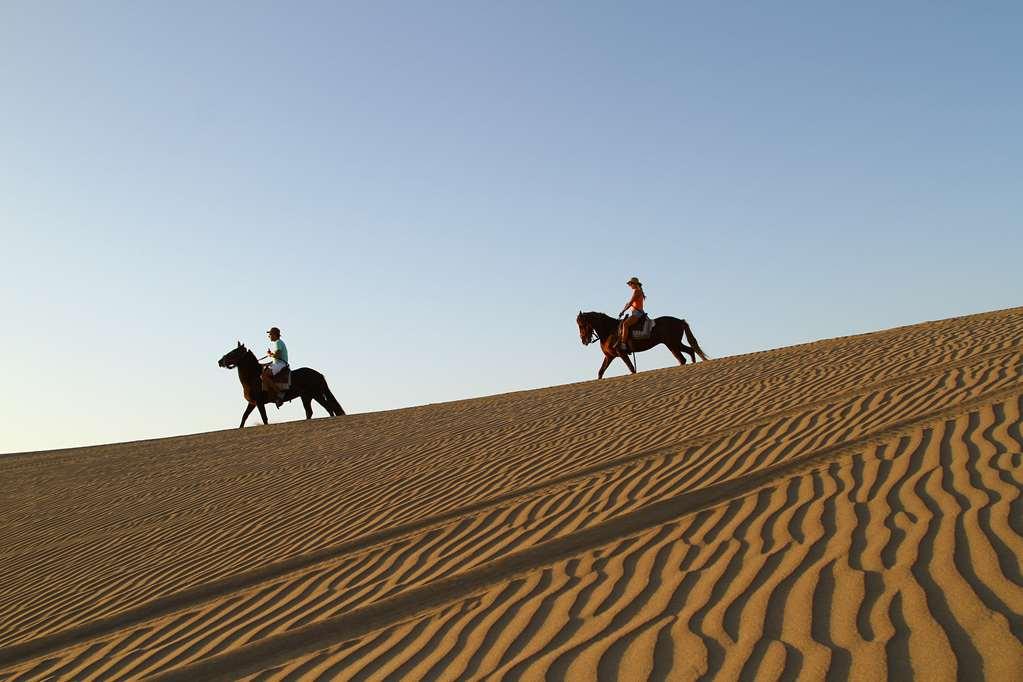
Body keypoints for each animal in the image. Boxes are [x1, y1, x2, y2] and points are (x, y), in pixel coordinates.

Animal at [217, 343, 345, 429]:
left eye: (234, 352)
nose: (220, 361)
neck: (253, 377)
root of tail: (319, 374)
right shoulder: (252, 403)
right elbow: (244, 416)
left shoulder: (259, 402)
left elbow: (264, 418)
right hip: (306, 397)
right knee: (310, 412)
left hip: (316, 394)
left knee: (328, 407)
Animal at [572, 312, 707, 382]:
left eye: (582, 325)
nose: (584, 340)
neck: (609, 330)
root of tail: (680, 321)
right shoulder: (609, 356)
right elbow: (600, 372)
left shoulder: (621, 353)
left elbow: (632, 369)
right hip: (675, 343)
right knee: (690, 351)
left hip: (672, 344)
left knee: (683, 358)